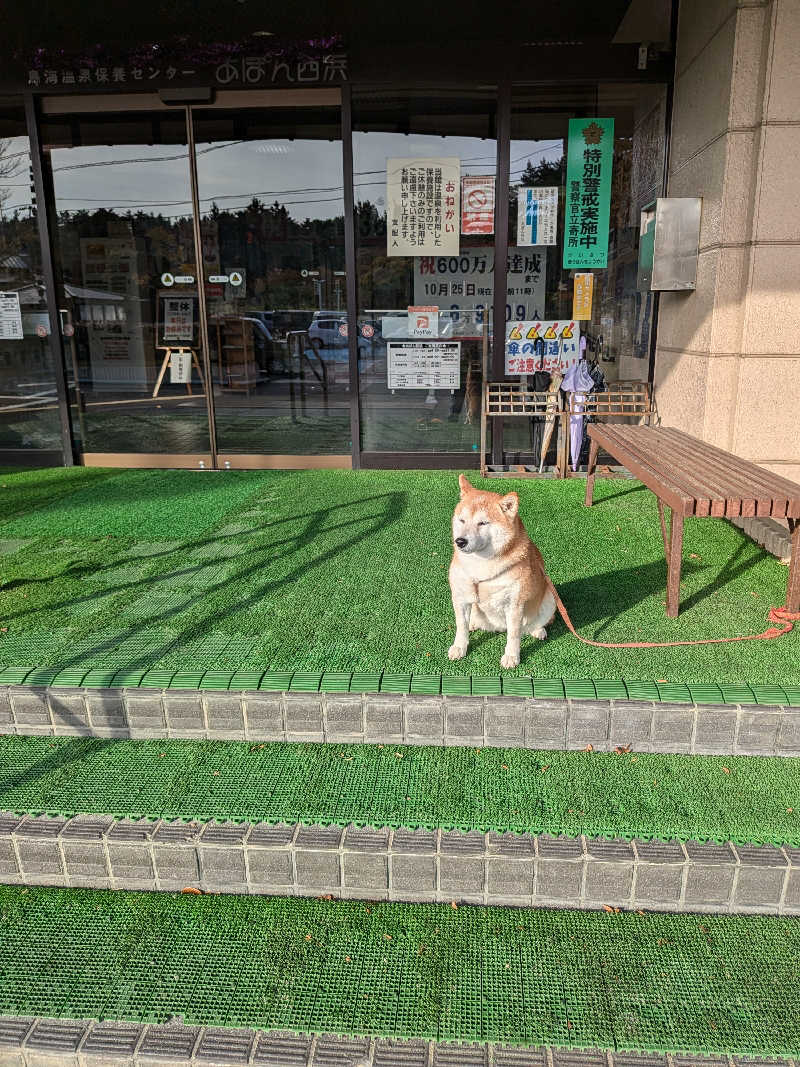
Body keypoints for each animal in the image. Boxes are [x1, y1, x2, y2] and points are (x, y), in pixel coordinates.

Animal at [452, 475, 558, 665]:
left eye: (482, 523)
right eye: (462, 520)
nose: (460, 541)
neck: (480, 567)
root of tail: (498, 627)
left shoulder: (514, 604)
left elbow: (514, 635)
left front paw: (511, 656)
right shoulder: (460, 596)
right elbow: (461, 626)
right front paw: (459, 647)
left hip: (551, 596)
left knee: (536, 622)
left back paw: (538, 630)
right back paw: (473, 623)